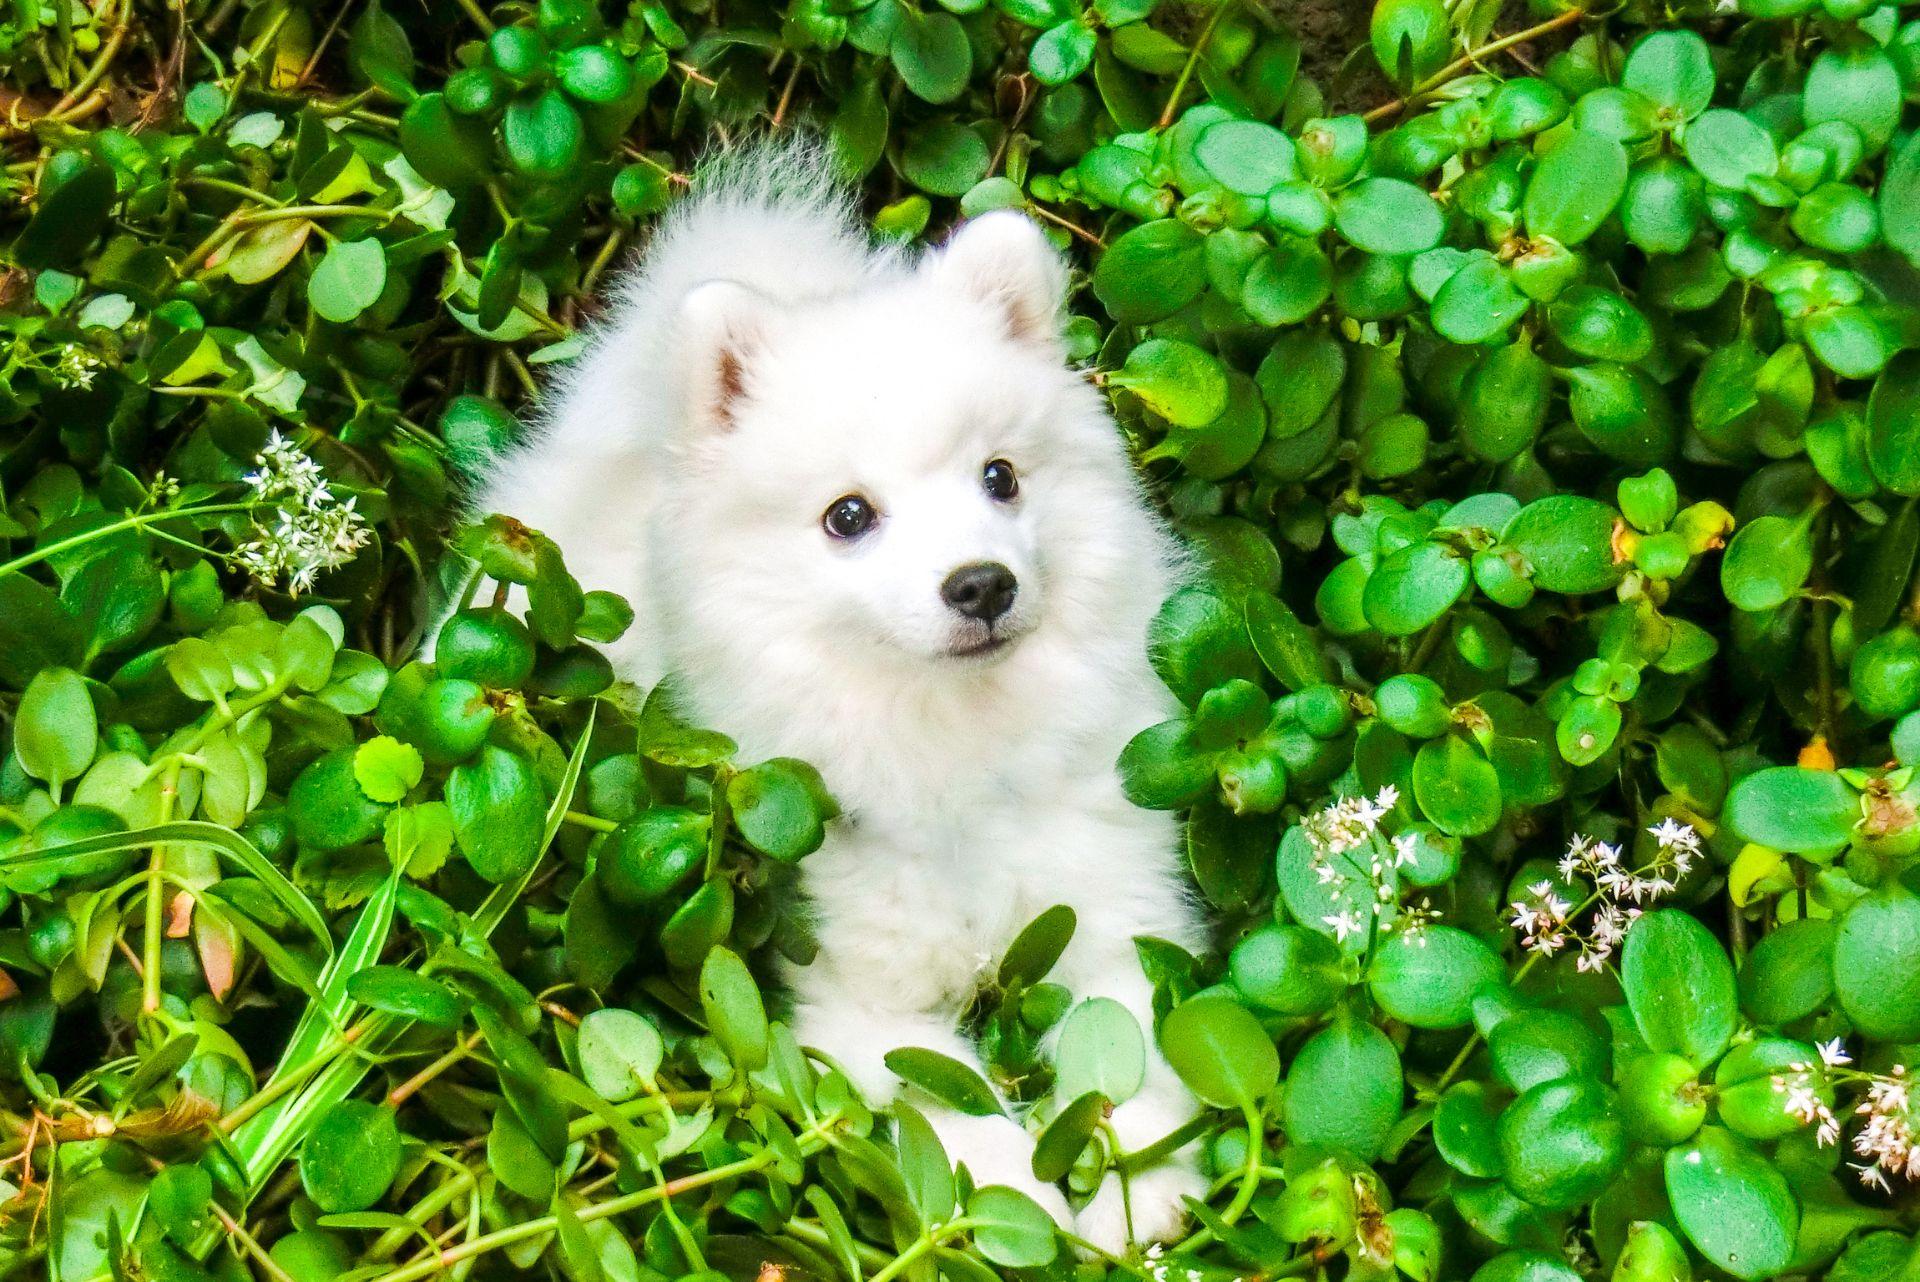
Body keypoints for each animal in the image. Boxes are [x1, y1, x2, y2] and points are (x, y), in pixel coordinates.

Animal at [476, 142, 1198, 1251]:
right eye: (848, 516)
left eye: (1001, 477)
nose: (981, 583)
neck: (949, 743)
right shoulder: (866, 1007)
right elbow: (960, 1121)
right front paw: (1021, 1211)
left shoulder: (1113, 916)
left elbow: (1133, 1050)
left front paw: (1138, 1185)